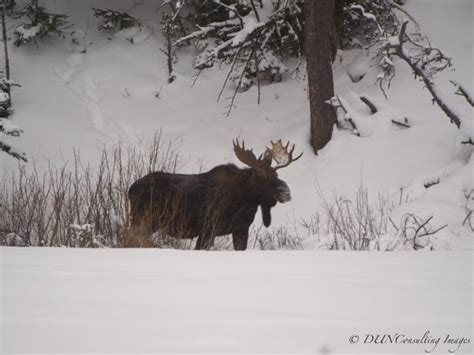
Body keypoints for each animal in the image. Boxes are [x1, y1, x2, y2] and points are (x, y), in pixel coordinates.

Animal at [128, 139, 302, 250]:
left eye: (276, 174)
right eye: (261, 176)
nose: (285, 191)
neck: (245, 202)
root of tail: (130, 191)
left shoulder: (240, 229)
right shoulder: (208, 228)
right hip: (144, 220)